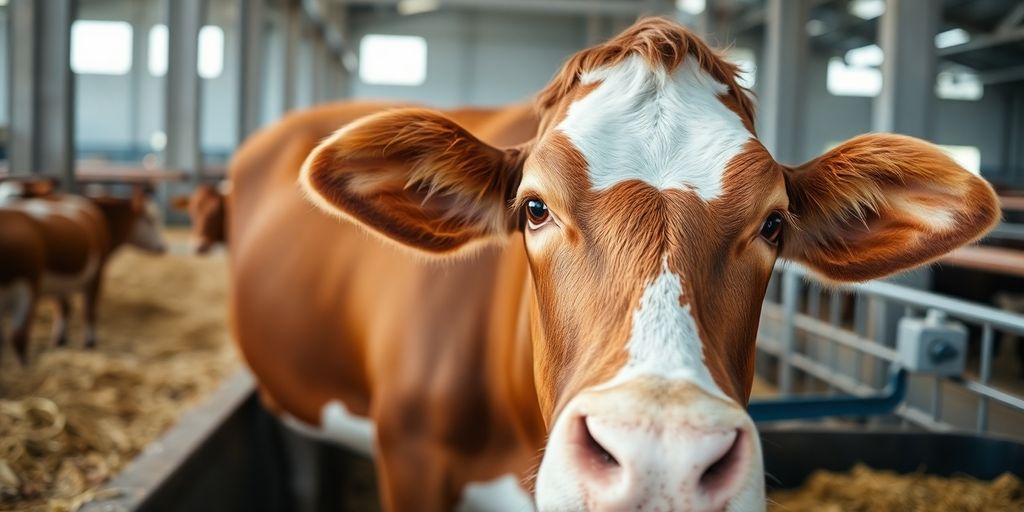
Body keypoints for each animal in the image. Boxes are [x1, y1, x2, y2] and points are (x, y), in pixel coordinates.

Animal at [0, 187, 167, 364]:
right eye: (151, 219)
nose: (163, 247)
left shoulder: (59, 283)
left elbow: (64, 308)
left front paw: (60, 342)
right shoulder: (97, 273)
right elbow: (89, 310)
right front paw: (89, 344)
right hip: (25, 289)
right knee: (19, 336)